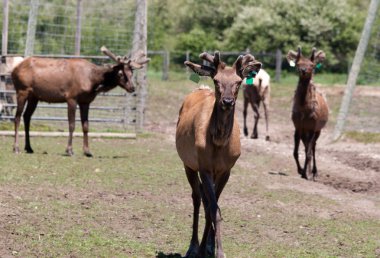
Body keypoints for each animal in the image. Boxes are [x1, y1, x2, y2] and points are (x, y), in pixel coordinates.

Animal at [12, 46, 148, 156]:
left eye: (131, 73)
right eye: (120, 73)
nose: (132, 88)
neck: (92, 81)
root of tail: (14, 69)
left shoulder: (85, 101)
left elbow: (86, 126)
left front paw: (87, 151)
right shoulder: (71, 98)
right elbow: (72, 124)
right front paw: (69, 150)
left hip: (34, 97)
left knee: (27, 116)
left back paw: (29, 148)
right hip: (22, 90)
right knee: (17, 117)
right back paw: (16, 148)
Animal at [176, 51, 262, 256]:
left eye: (238, 82)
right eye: (217, 80)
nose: (228, 101)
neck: (219, 143)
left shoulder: (226, 170)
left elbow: (215, 208)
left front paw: (212, 247)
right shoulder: (205, 167)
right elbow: (212, 208)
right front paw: (211, 250)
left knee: (204, 198)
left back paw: (206, 244)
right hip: (188, 164)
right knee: (197, 198)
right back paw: (193, 246)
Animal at [288, 46, 330, 179]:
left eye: (312, 65)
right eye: (298, 63)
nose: (303, 70)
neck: (304, 110)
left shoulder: (312, 126)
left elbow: (308, 152)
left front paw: (306, 173)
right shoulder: (298, 126)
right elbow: (295, 152)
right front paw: (301, 170)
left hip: (318, 130)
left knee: (313, 147)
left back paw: (314, 172)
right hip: (305, 131)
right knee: (308, 146)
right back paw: (309, 170)